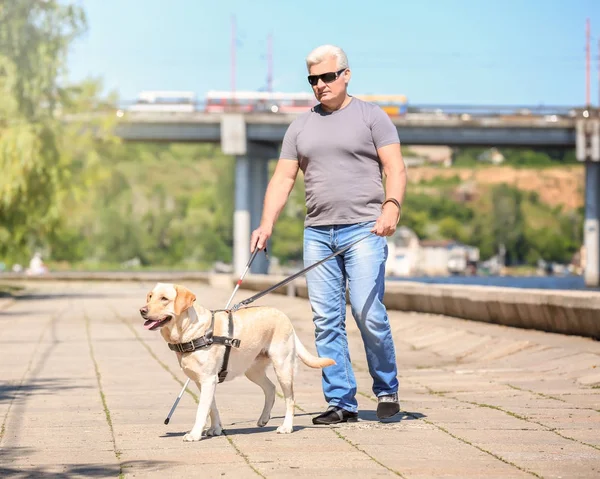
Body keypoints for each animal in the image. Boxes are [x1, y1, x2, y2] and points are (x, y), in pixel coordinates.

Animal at [141, 282, 338, 442]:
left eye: (164, 299)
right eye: (150, 296)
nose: (142, 310)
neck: (191, 331)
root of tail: (284, 317)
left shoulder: (208, 380)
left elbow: (202, 410)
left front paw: (194, 434)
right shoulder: (204, 382)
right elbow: (212, 407)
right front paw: (215, 429)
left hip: (282, 367)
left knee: (290, 399)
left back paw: (286, 427)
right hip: (252, 370)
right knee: (270, 388)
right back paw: (264, 418)